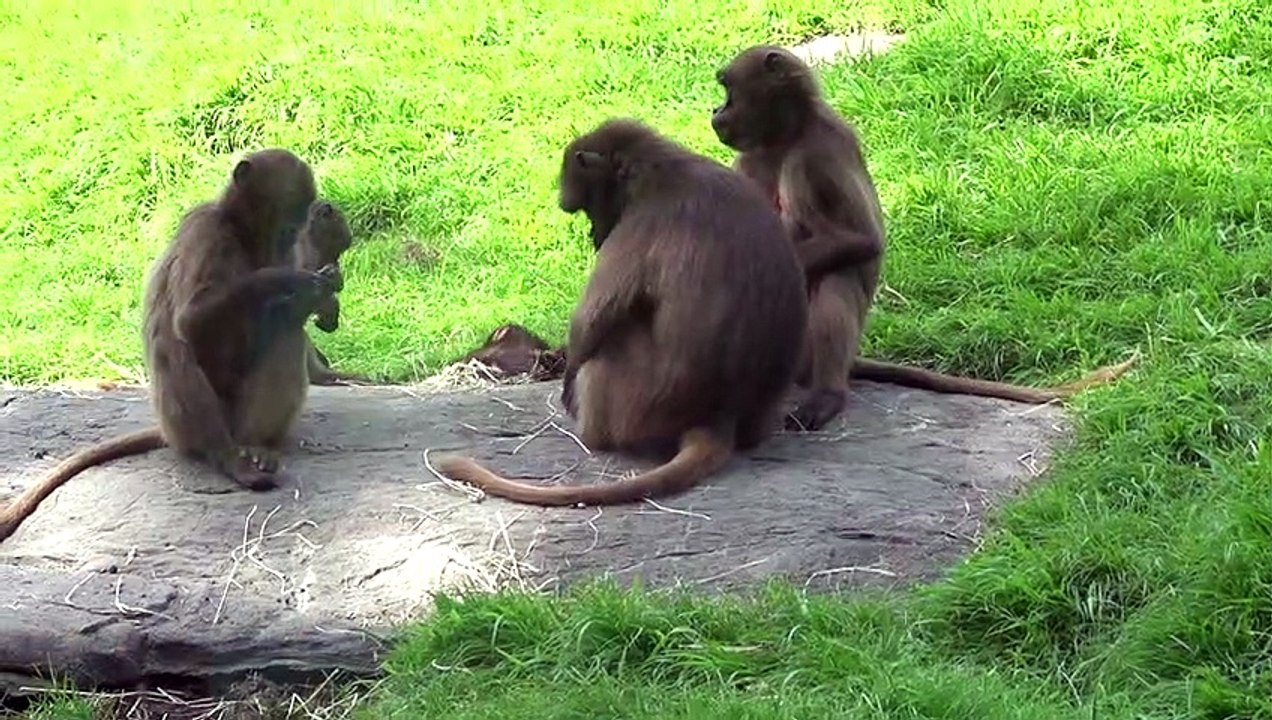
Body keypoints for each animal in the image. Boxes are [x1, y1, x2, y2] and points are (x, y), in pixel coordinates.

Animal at [0, 149, 340, 542]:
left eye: (301, 213)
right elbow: (192, 321)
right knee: (179, 347)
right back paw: (226, 457)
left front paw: (322, 297)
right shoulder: (206, 232)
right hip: (186, 423)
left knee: (285, 333)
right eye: (292, 208)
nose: (297, 230)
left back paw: (260, 446)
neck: (241, 233)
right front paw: (291, 283)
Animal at [434, 118, 809, 506]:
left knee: (606, 351)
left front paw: (566, 383)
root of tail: (718, 416)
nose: (593, 234)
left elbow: (591, 320)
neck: (662, 170)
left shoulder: (637, 225)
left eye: (587, 205)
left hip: (635, 405)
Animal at [710, 45, 1136, 431]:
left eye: (728, 89)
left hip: (805, 354)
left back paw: (826, 396)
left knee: (836, 278)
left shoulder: (818, 155)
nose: (715, 112)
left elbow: (863, 239)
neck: (785, 138)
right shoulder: (748, 159)